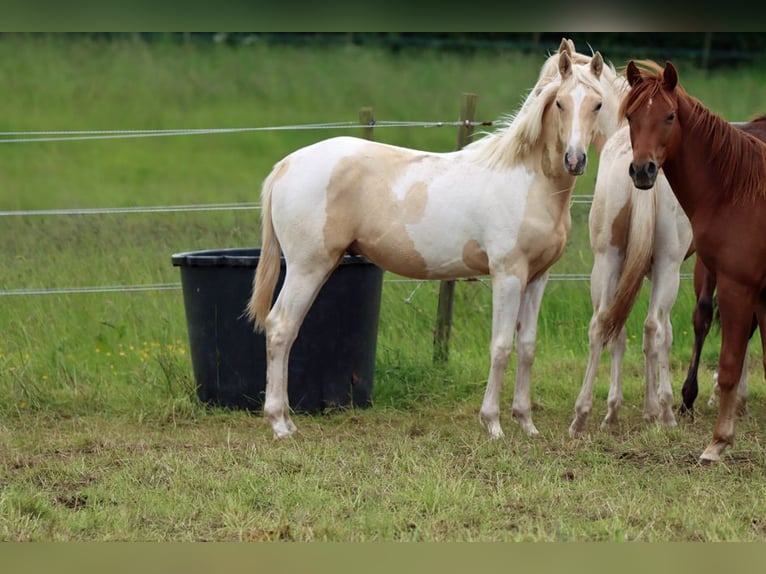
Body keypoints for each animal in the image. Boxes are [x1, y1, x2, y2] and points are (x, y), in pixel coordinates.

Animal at [248, 47, 608, 444]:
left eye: (598, 104)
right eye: (560, 103)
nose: (574, 160)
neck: (526, 180)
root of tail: (287, 164)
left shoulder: (538, 277)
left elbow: (527, 347)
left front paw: (526, 423)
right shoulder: (508, 274)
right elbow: (500, 347)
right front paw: (493, 424)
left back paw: (286, 421)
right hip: (306, 267)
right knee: (281, 328)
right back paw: (280, 424)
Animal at [624, 58, 766, 464]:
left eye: (670, 116)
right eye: (630, 116)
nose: (643, 170)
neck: (738, 190)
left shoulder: (738, 287)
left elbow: (731, 365)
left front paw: (718, 443)